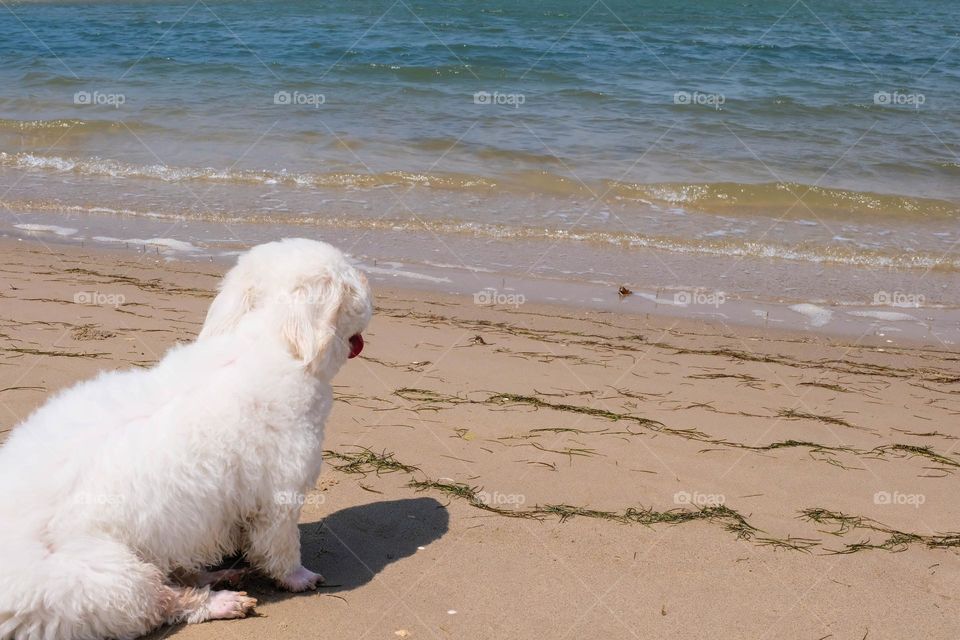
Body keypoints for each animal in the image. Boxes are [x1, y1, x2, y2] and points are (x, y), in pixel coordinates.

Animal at [0, 238, 372, 636]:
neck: (266, 343)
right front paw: (299, 578)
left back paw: (217, 575)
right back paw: (221, 600)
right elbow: (281, 549)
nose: (370, 281)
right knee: (164, 601)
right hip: (102, 580)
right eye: (351, 282)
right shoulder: (280, 497)